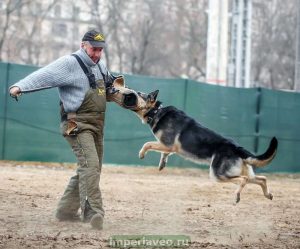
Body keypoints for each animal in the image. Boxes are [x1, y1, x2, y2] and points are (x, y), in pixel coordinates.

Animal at [110, 79, 278, 203]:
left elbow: (147, 144)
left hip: (218, 174)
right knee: (262, 179)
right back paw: (268, 195)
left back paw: (237, 196)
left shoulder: (166, 145)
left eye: (138, 94)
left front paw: (141, 154)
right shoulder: (169, 148)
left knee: (243, 180)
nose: (126, 89)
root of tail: (237, 148)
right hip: (242, 173)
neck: (157, 111)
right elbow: (163, 154)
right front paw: (162, 163)